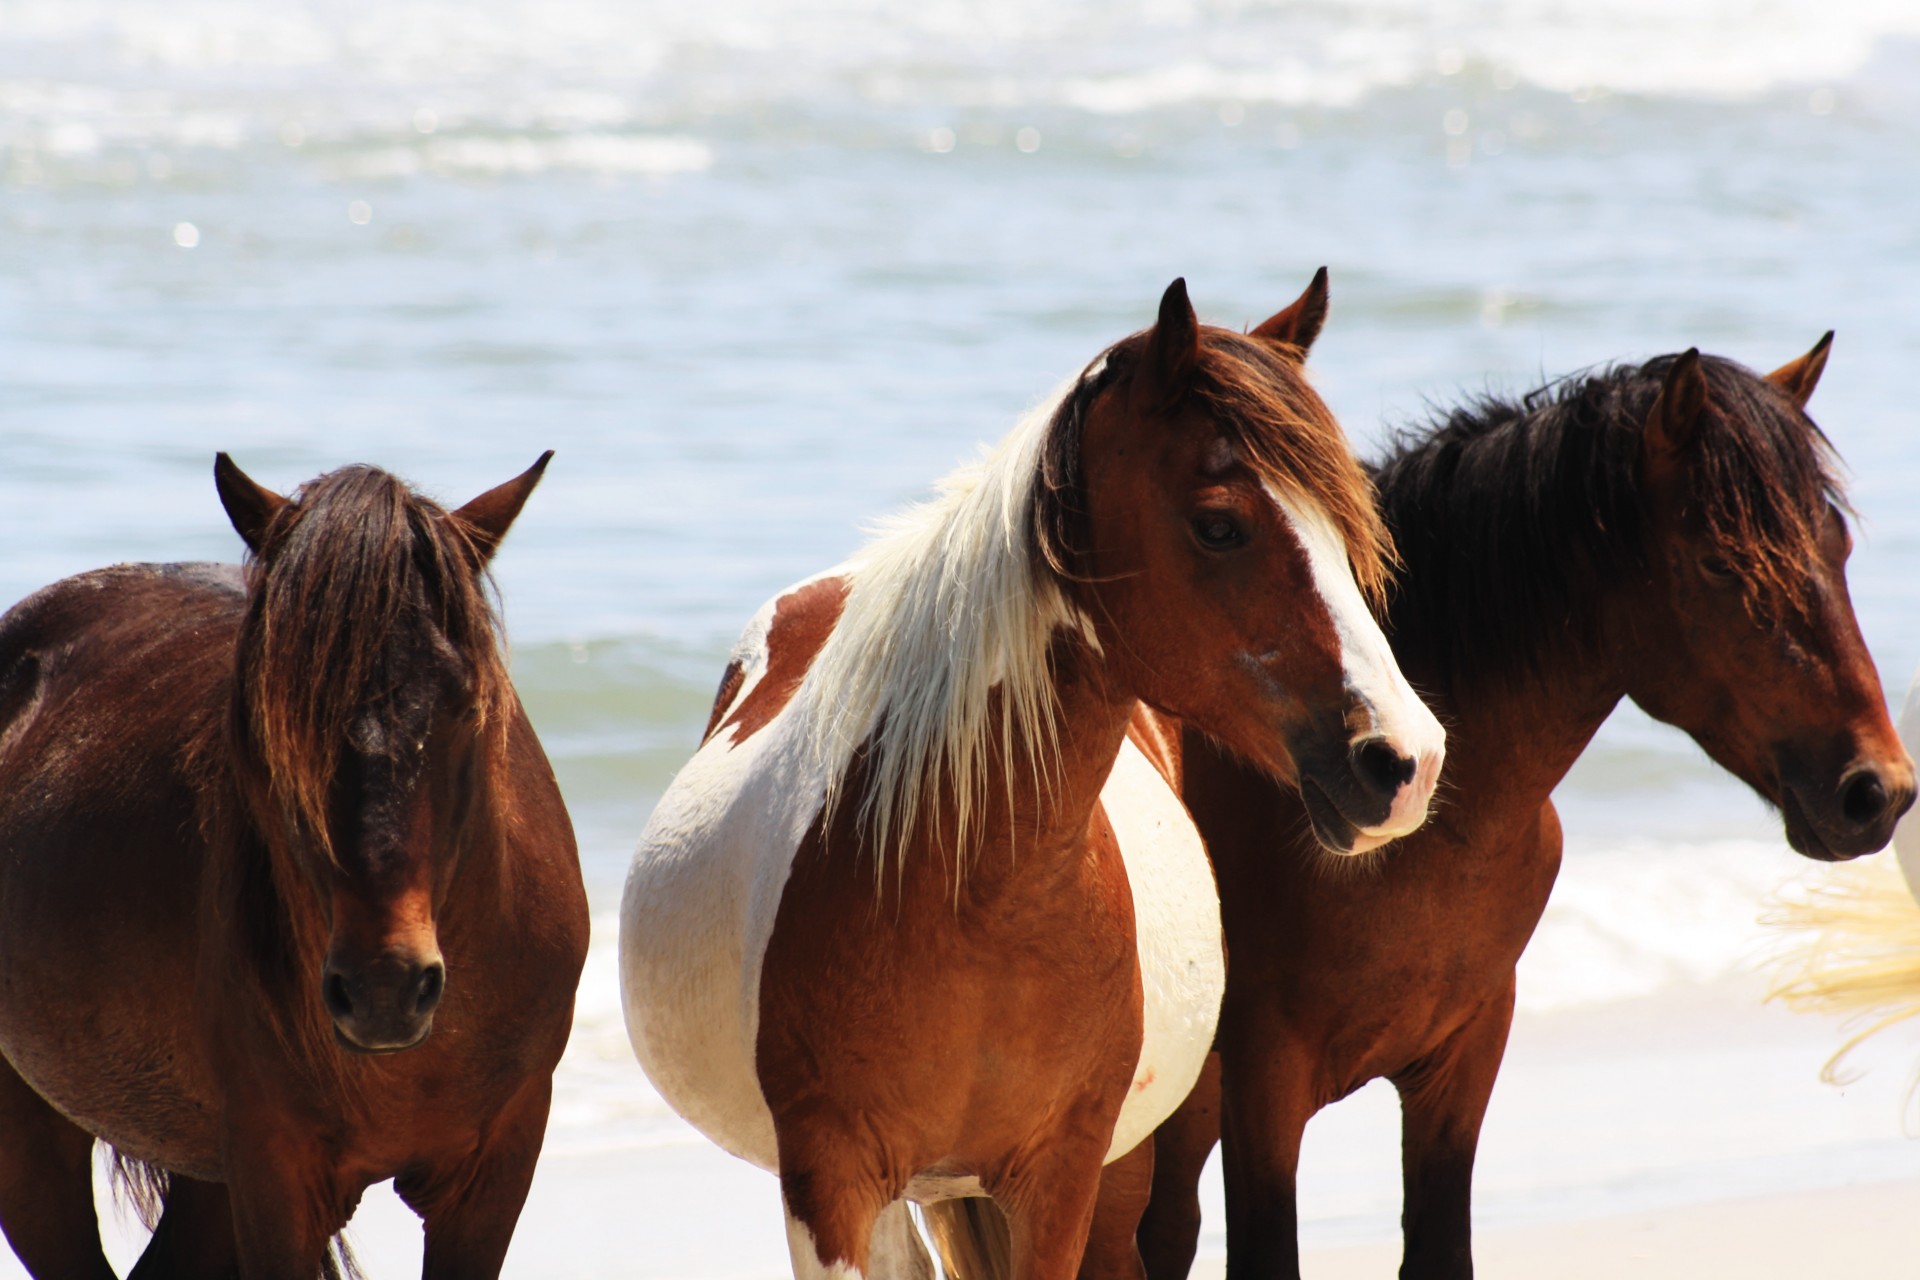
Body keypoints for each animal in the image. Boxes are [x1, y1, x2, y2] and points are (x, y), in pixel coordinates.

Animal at [1090, 333, 1912, 1280]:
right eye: (1718, 563)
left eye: (1836, 545)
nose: (1876, 791)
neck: (1423, 833)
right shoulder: (1265, 1082)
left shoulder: (1463, 1062)